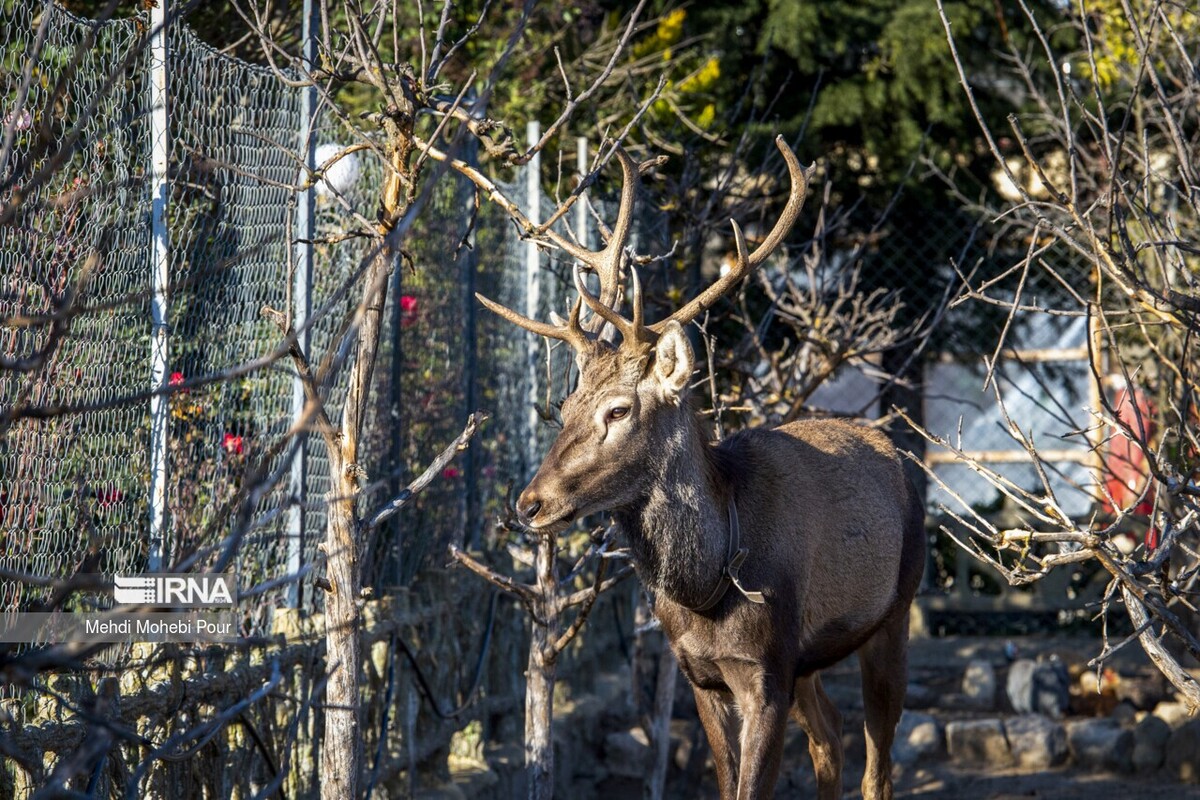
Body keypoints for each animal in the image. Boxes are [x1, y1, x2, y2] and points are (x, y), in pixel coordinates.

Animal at [477, 139, 926, 800]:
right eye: (565, 406)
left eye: (619, 409)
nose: (530, 503)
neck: (708, 586)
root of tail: (896, 455)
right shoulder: (702, 675)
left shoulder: (766, 670)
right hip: (810, 661)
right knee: (830, 733)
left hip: (896, 610)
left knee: (877, 761)